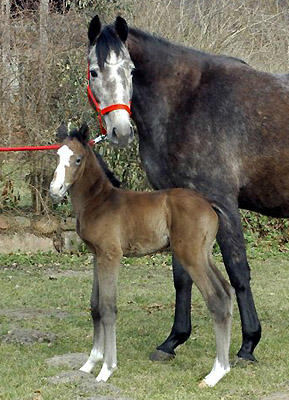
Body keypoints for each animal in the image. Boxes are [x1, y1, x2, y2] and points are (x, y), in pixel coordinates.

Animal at [49, 124, 233, 388]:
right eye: (57, 156)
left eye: (77, 159)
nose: (55, 190)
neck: (99, 201)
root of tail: (208, 203)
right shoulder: (97, 256)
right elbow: (95, 306)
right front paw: (89, 364)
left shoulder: (111, 256)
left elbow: (108, 308)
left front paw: (106, 369)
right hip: (204, 255)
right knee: (227, 293)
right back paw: (223, 368)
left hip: (190, 256)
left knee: (216, 299)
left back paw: (214, 374)